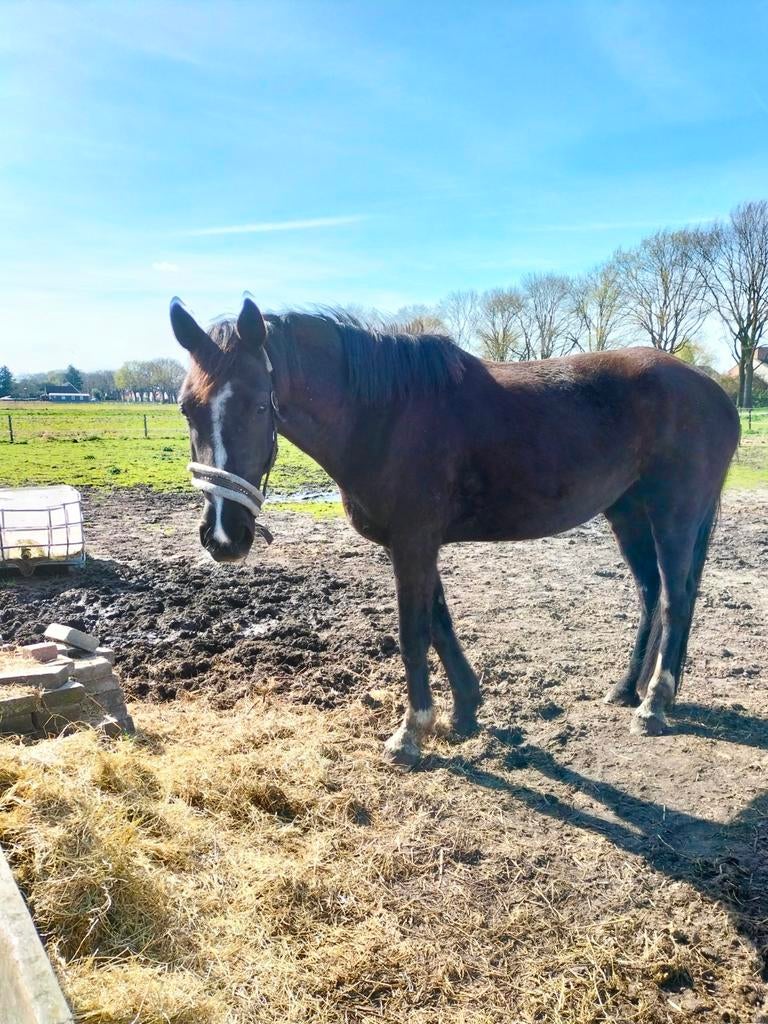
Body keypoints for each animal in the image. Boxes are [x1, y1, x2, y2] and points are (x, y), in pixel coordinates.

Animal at [170, 296, 740, 766]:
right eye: (185, 407)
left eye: (258, 404)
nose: (223, 536)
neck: (384, 416)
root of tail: (713, 391)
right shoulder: (417, 545)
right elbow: (440, 622)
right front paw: (465, 711)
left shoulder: (413, 544)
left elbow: (414, 632)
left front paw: (410, 732)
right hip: (627, 512)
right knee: (651, 594)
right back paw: (629, 689)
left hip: (674, 514)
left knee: (676, 599)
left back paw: (654, 705)